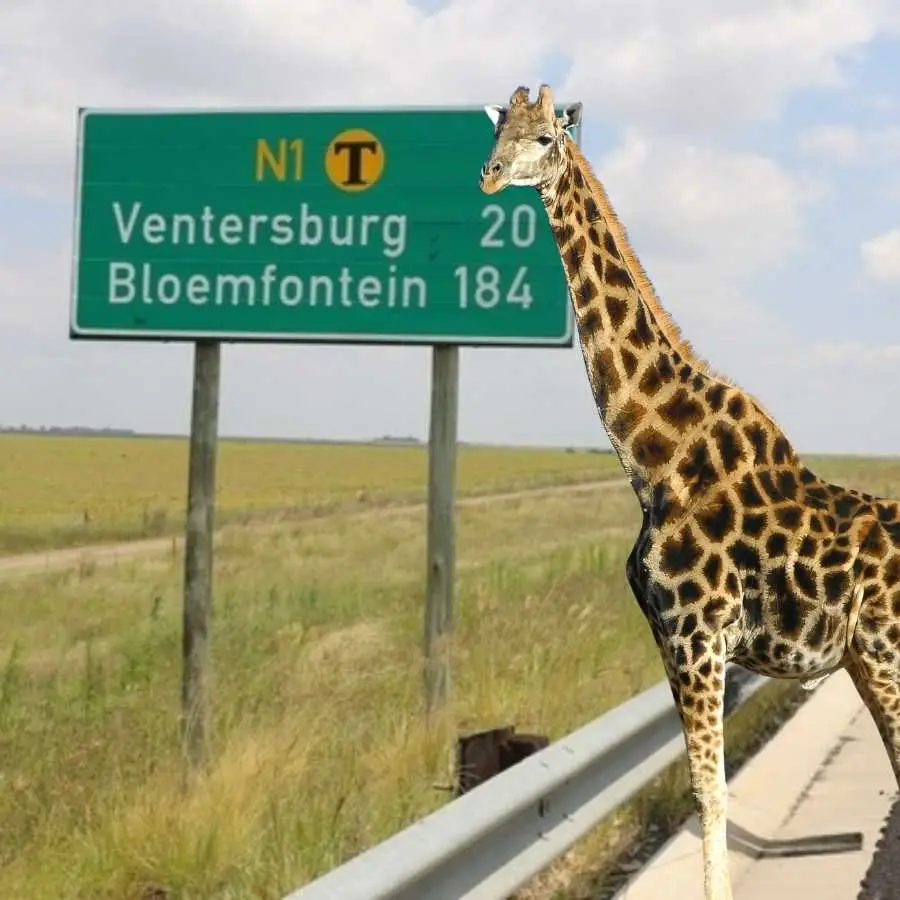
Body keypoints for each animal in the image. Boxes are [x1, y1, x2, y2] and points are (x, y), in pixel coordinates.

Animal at [478, 84, 900, 900]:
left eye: (545, 138)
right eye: (499, 129)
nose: (488, 176)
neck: (656, 460)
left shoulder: (698, 637)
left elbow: (712, 794)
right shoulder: (672, 638)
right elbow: (707, 792)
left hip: (887, 649)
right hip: (867, 657)